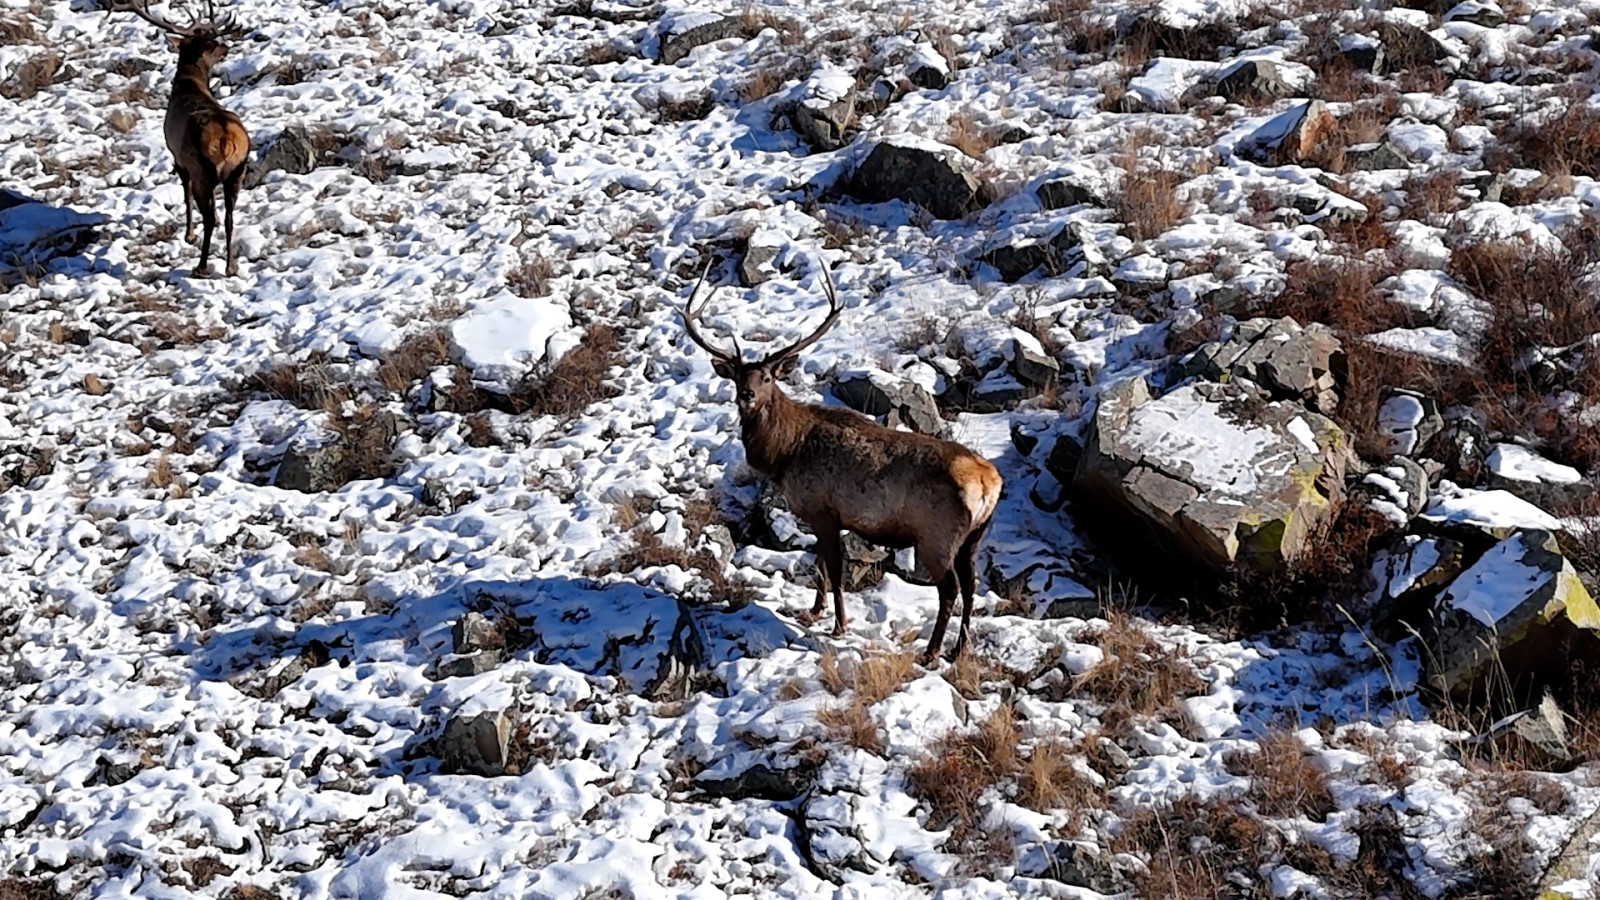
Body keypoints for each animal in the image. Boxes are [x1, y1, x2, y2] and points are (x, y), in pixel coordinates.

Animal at [103, 0, 248, 277]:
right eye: (212, 42)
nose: (227, 46)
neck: (188, 84)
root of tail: (227, 140)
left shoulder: (177, 157)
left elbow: (185, 194)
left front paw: (189, 235)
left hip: (202, 168)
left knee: (208, 214)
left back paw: (201, 267)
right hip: (238, 172)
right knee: (230, 216)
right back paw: (229, 266)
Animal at [681, 259, 1004, 659]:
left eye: (768, 376)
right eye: (739, 376)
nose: (747, 394)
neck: (784, 454)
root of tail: (989, 481)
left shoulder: (822, 508)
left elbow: (834, 568)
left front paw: (839, 625)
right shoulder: (820, 514)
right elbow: (818, 561)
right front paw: (814, 611)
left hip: (937, 535)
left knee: (950, 588)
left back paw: (931, 652)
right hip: (974, 536)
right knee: (972, 586)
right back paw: (959, 650)